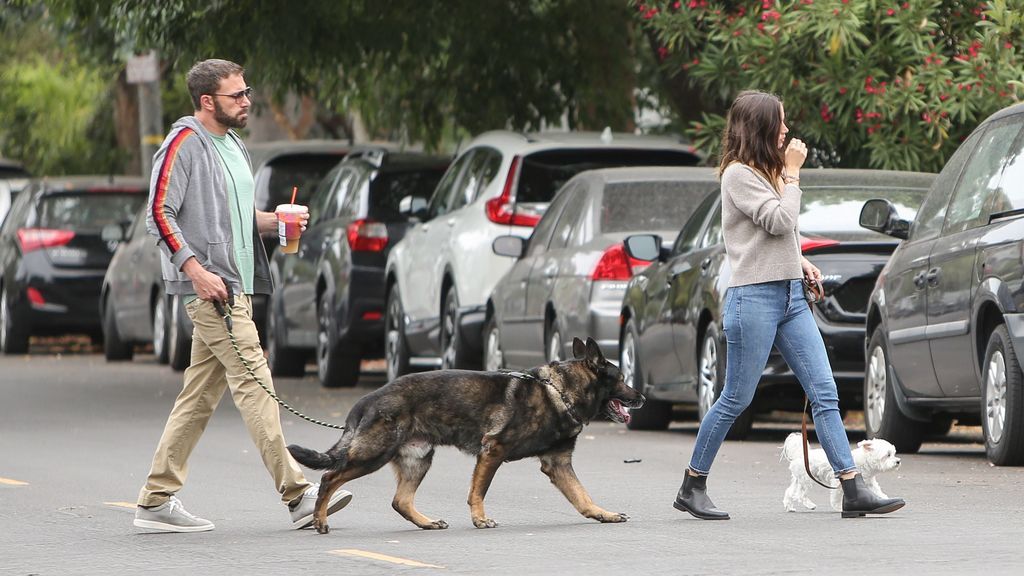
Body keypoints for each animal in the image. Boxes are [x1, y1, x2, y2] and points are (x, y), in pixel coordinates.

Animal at [284, 334, 643, 532]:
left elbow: (583, 496)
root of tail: (367, 399)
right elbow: (478, 492)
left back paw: (426, 522)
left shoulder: (558, 464)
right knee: (330, 477)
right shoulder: (492, 452)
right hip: (373, 455)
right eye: (622, 378)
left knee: (400, 501)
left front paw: (603, 514)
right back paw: (320, 519)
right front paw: (480, 519)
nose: (641, 397)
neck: (560, 391)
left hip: (417, 460)